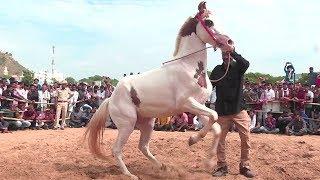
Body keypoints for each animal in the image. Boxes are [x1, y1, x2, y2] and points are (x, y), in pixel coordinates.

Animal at [85, 2, 234, 179]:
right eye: (209, 22)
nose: (230, 43)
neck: (188, 67)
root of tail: (111, 99)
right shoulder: (187, 103)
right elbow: (215, 116)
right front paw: (192, 140)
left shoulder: (199, 107)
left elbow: (216, 126)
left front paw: (208, 161)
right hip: (127, 124)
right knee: (117, 150)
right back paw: (130, 174)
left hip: (147, 123)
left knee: (143, 146)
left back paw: (162, 166)